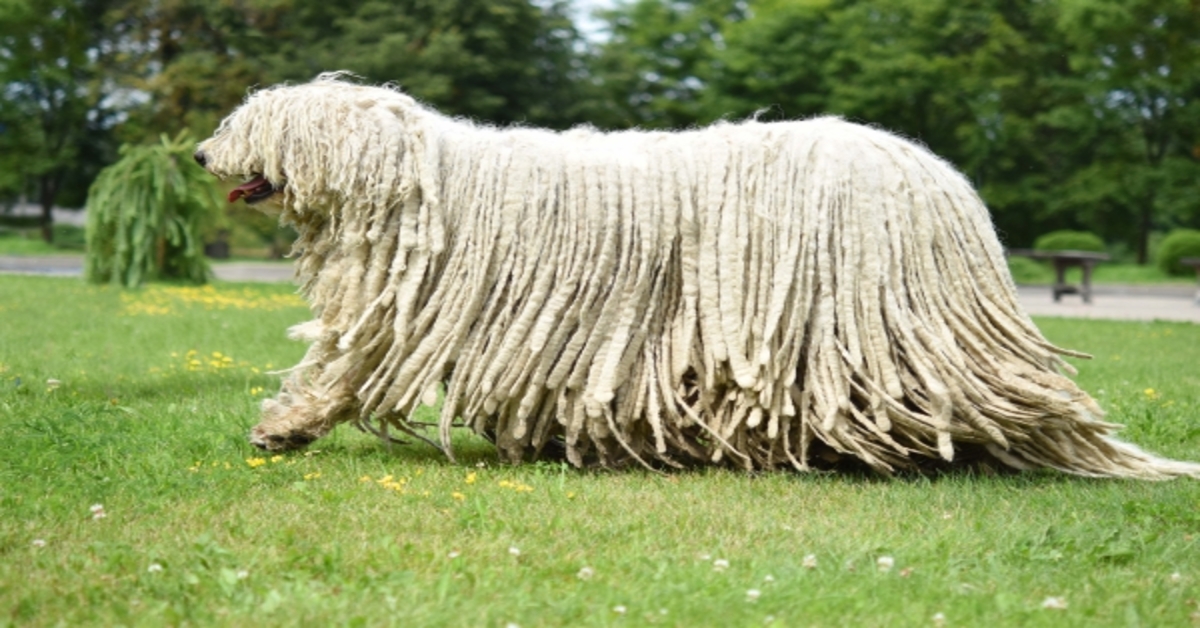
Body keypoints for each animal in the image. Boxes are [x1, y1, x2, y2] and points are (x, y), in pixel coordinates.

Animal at [196, 72, 1200, 477]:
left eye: (252, 121)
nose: (203, 153)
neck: (421, 184)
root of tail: (942, 184)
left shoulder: (407, 308)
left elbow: (342, 363)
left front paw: (282, 426)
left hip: (867, 326)